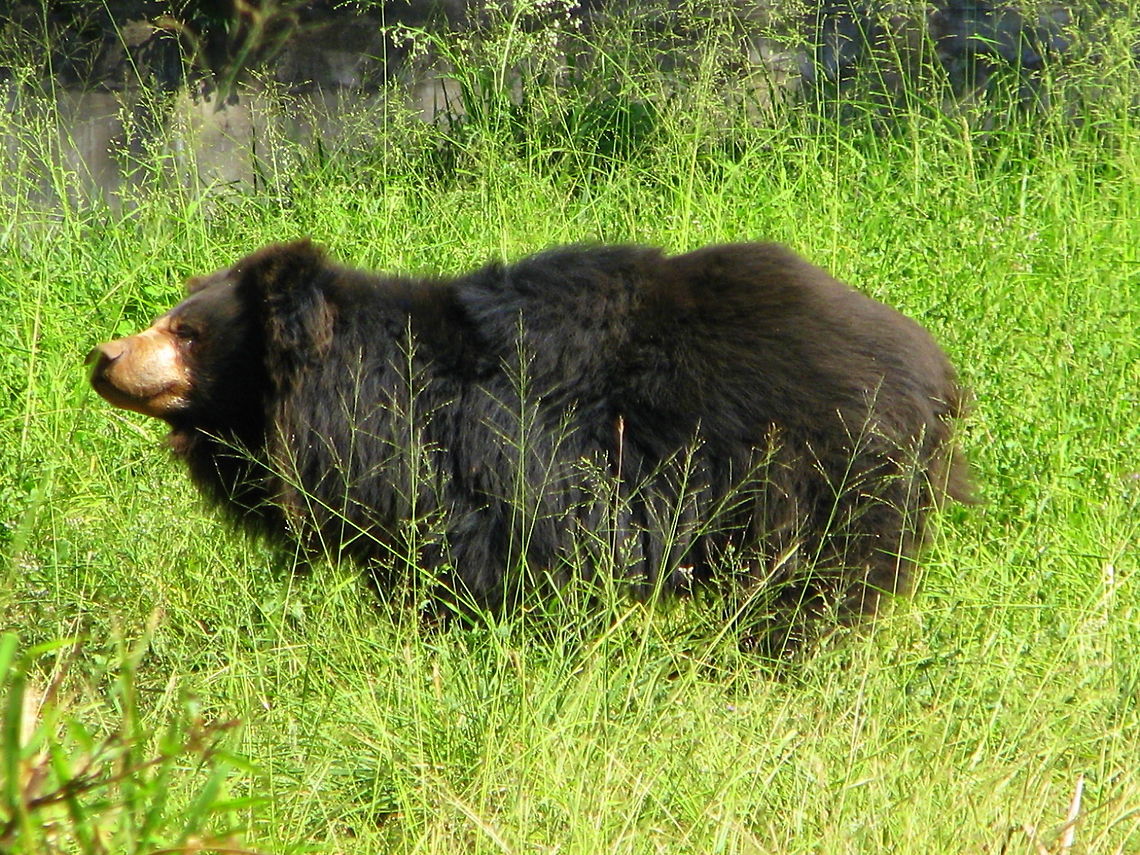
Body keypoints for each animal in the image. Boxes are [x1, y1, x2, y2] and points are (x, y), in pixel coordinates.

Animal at [88, 240, 971, 651]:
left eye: (186, 332)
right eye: (167, 321)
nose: (102, 355)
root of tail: (933, 369)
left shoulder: (485, 466)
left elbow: (494, 562)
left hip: (816, 470)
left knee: (814, 585)